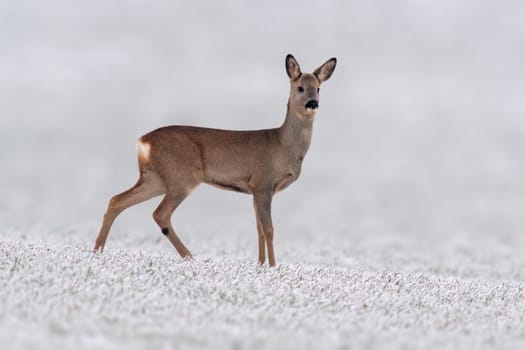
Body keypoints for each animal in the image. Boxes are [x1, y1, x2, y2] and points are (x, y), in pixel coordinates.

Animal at [93, 54, 336, 266]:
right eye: (300, 87)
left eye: (318, 88)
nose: (313, 103)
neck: (283, 145)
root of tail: (142, 142)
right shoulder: (263, 183)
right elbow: (269, 229)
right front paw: (273, 267)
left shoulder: (256, 189)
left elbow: (258, 228)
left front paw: (260, 265)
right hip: (181, 177)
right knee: (159, 213)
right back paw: (190, 257)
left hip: (155, 178)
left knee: (116, 200)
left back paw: (97, 250)